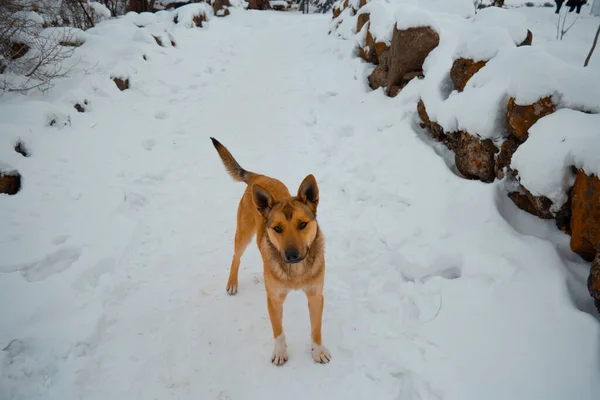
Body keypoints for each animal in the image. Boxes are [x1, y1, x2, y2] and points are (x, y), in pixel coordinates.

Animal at [211, 138, 332, 366]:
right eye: (277, 228)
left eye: (302, 224)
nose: (292, 255)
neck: (296, 272)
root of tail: (258, 177)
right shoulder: (274, 300)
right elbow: (279, 331)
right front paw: (280, 352)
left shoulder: (315, 295)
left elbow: (316, 328)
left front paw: (318, 350)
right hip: (243, 234)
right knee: (236, 257)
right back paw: (232, 282)